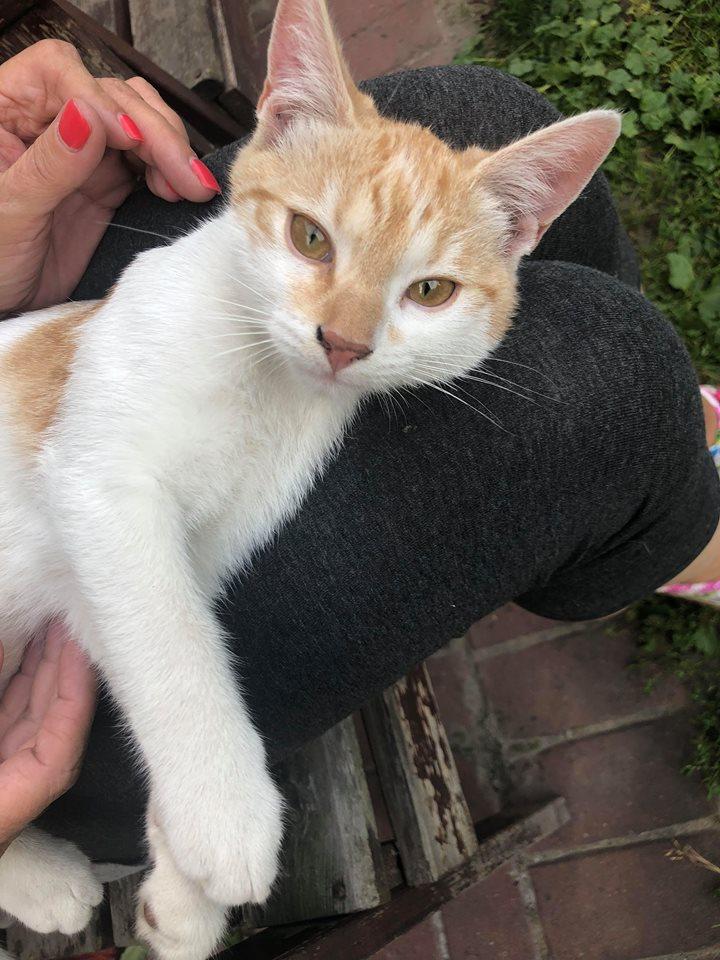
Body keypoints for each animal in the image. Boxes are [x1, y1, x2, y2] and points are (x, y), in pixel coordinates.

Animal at [0, 0, 620, 957]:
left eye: (431, 291)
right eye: (309, 237)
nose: (344, 343)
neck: (263, 378)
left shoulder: (168, 552)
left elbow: (152, 637)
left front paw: (181, 893)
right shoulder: (99, 475)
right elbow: (168, 642)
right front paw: (226, 816)